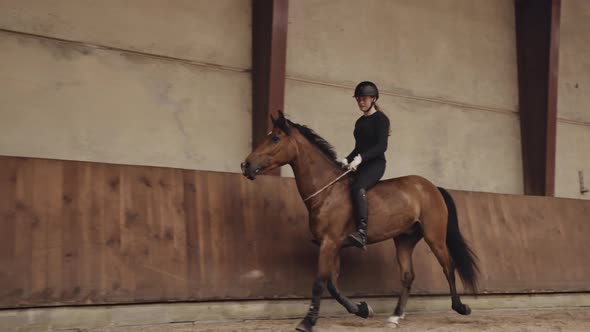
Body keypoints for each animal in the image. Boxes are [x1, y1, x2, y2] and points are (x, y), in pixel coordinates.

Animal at [242, 110, 480, 330]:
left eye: (275, 138)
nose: (246, 165)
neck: (327, 191)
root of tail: (432, 187)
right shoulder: (334, 245)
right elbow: (332, 284)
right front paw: (362, 309)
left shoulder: (329, 242)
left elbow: (320, 282)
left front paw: (307, 322)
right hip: (404, 239)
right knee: (407, 276)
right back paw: (395, 317)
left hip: (434, 236)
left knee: (448, 266)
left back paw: (460, 307)